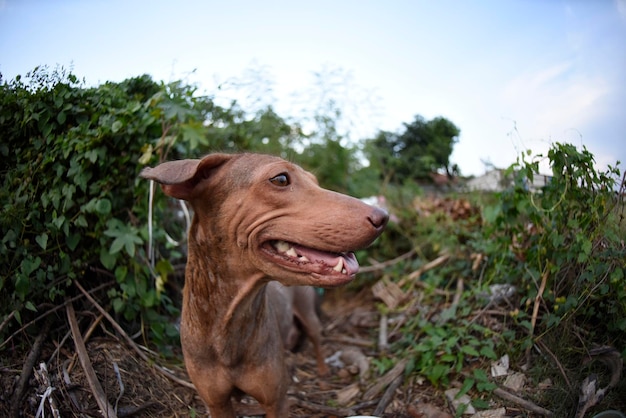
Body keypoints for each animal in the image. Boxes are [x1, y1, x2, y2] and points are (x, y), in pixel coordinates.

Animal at [141, 154, 386, 418]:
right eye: (280, 179)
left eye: (315, 182)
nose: (383, 217)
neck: (230, 322)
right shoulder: (216, 403)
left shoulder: (276, 402)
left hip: (309, 317)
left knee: (317, 343)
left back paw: (321, 372)